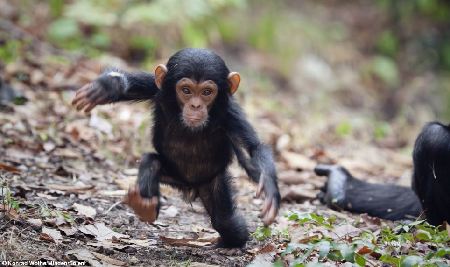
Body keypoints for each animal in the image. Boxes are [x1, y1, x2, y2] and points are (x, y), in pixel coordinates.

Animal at [72, 48, 280, 249]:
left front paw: (270, 189)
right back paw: (145, 207)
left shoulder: (231, 115)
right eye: (186, 90)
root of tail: (189, 187)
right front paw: (106, 87)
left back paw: (229, 243)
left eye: (207, 92)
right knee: (152, 161)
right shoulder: (159, 89)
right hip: (172, 176)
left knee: (226, 222)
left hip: (211, 182)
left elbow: (253, 149)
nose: (195, 105)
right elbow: (131, 87)